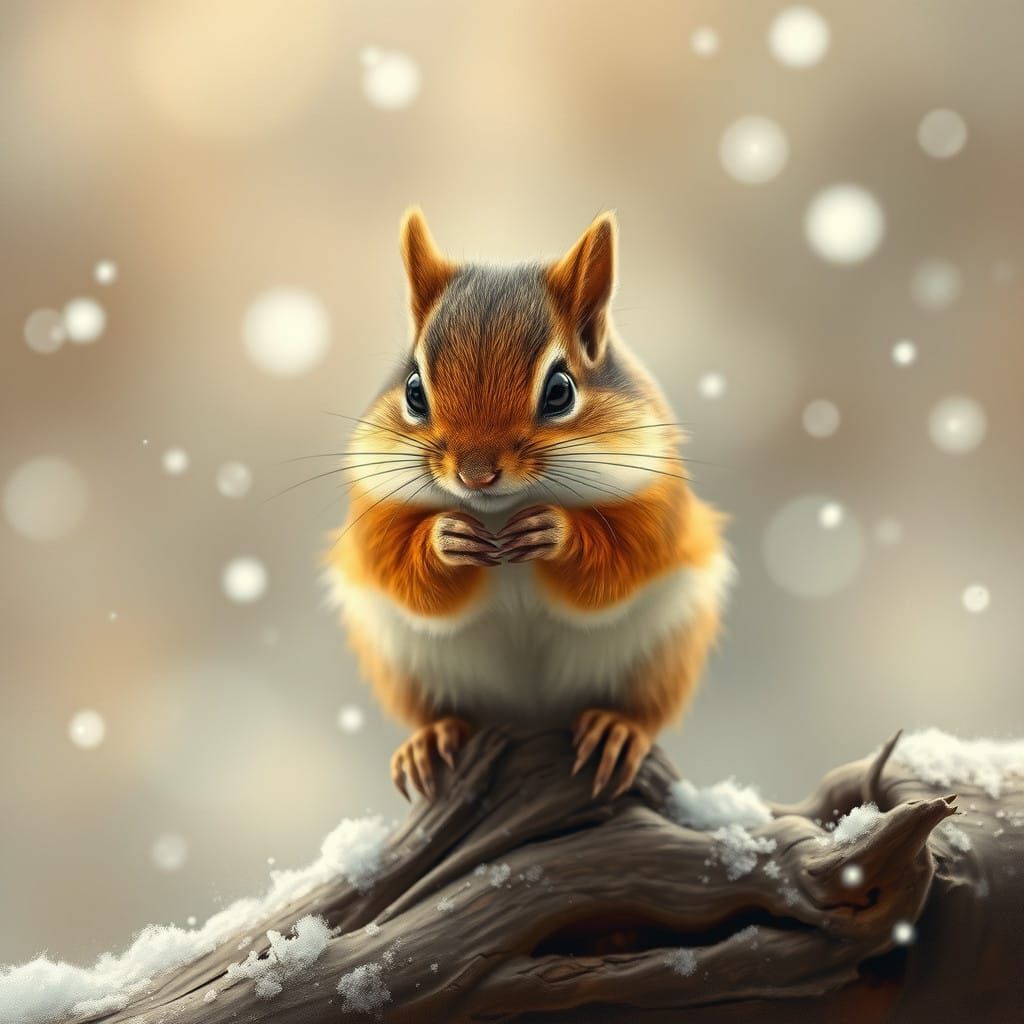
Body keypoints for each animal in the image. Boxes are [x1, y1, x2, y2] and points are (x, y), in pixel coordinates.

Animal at [325, 209, 732, 801]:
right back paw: (431, 738)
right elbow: (404, 575)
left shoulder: (658, 501)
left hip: (664, 651)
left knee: (643, 709)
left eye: (560, 390)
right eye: (414, 391)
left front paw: (556, 531)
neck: (499, 510)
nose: (475, 473)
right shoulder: (375, 508)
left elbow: (618, 568)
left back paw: (616, 730)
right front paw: (444, 538)